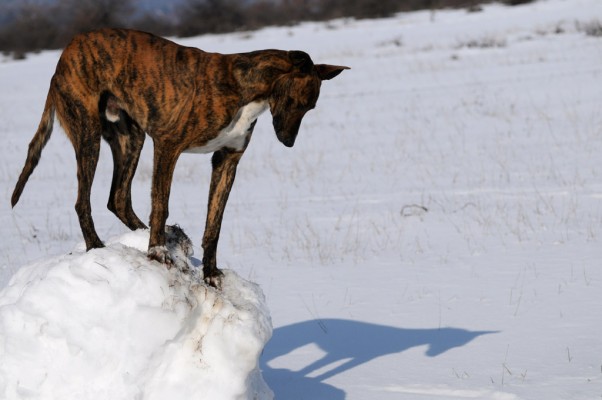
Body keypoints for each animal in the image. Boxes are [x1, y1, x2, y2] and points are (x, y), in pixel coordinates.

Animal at [10, 28, 346, 288]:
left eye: (310, 107)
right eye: (294, 100)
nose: (288, 142)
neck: (246, 89)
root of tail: (64, 56)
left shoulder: (226, 160)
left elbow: (214, 225)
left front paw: (210, 273)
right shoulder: (167, 146)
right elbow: (161, 205)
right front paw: (157, 253)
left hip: (130, 138)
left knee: (118, 198)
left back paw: (143, 233)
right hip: (88, 134)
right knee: (84, 201)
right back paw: (97, 246)